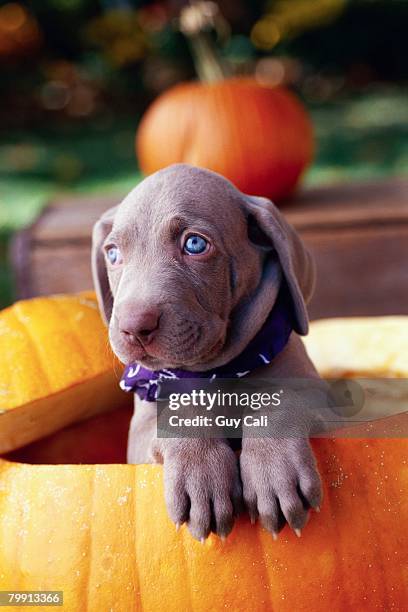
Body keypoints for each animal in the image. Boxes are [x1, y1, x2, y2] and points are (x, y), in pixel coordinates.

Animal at [91, 161, 322, 540]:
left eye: (195, 244)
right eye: (113, 254)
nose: (132, 326)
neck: (217, 371)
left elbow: (283, 401)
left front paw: (274, 469)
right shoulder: (138, 435)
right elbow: (176, 415)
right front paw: (201, 472)